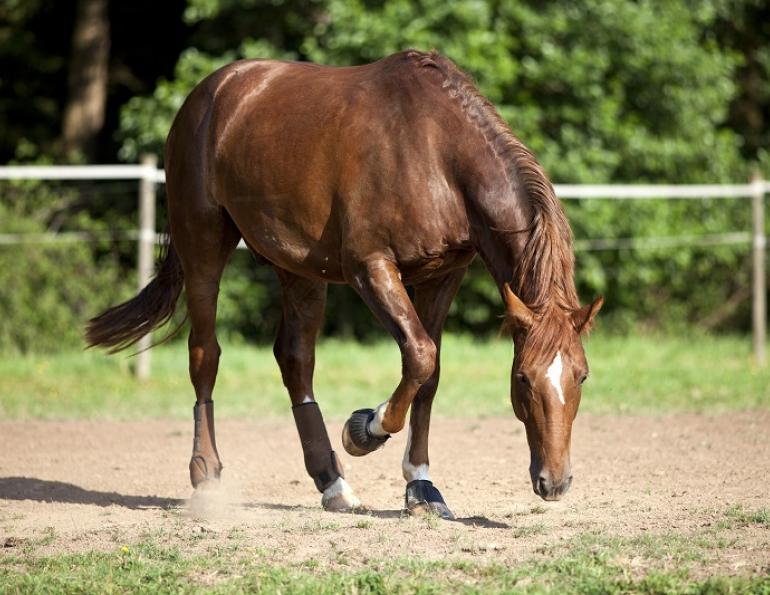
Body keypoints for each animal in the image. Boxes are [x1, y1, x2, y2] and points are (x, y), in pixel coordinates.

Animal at [86, 50, 602, 519]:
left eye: (581, 376)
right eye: (522, 378)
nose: (555, 482)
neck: (436, 152)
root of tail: (210, 92)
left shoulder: (443, 275)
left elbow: (429, 373)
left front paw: (422, 487)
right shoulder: (370, 266)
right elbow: (418, 355)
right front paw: (364, 430)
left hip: (297, 268)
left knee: (295, 360)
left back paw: (332, 483)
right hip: (204, 246)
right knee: (204, 354)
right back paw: (208, 477)